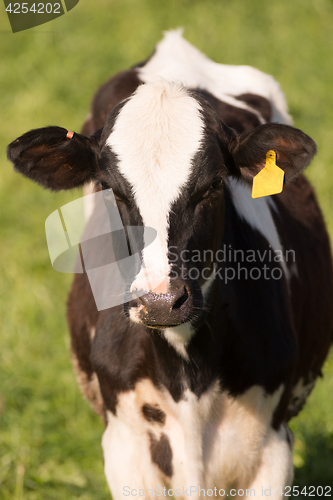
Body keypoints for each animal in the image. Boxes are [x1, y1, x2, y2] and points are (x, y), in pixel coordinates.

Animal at [7, 31, 332, 500]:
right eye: (109, 188)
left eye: (213, 185)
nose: (160, 301)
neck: (188, 374)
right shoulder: (125, 447)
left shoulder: (272, 446)